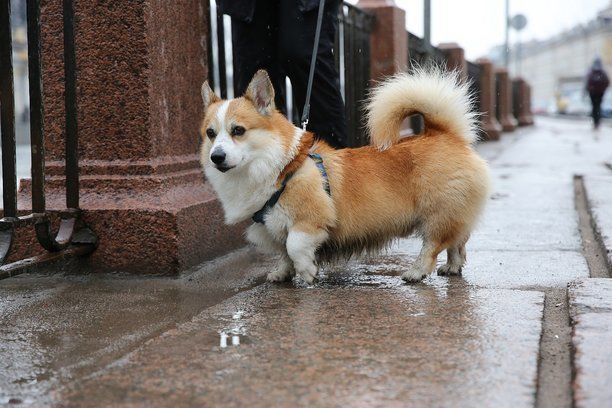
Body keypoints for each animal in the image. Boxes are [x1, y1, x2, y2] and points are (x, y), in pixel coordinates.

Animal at [201, 67, 492, 284]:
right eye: (210, 133)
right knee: (457, 242)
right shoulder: (272, 227)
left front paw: (308, 272)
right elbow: (283, 252)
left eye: (238, 130)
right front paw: (281, 274)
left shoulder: (310, 220)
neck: (282, 168)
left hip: (437, 214)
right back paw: (452, 267)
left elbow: (294, 246)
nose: (216, 157)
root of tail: (444, 133)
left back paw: (416, 272)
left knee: (433, 245)